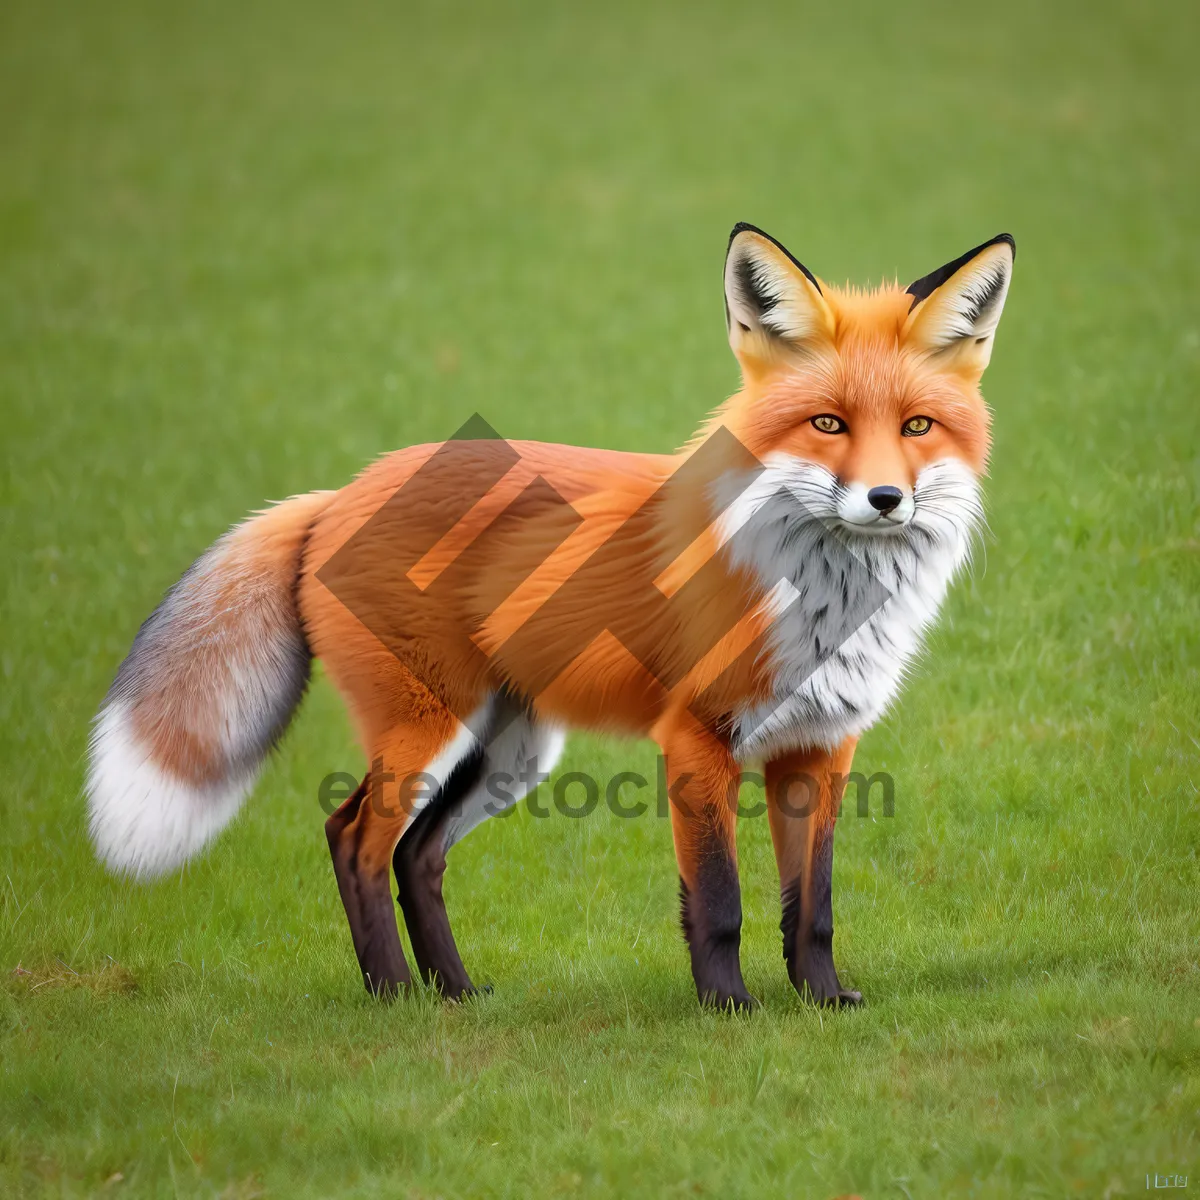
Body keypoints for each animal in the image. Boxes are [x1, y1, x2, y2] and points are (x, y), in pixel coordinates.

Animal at [88, 223, 1017, 1003]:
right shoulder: (698, 739)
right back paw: (393, 994)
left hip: (510, 751)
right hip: (430, 728)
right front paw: (728, 1006)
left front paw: (822, 1000)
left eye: (917, 427)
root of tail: (335, 495)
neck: (821, 599)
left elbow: (812, 906)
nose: (886, 499)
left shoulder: (821, 750)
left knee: (418, 855)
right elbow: (720, 901)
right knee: (353, 840)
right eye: (827, 423)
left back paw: (457, 993)